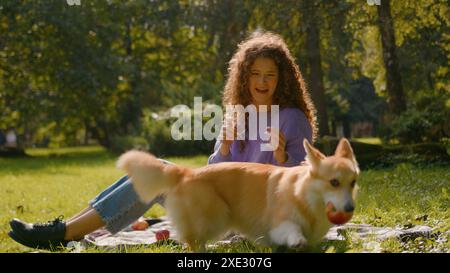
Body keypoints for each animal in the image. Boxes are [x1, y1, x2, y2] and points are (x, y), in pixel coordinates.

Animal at [118, 138, 360, 251]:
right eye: (334, 182)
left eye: (353, 182)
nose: (350, 209)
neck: (306, 196)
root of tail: (186, 172)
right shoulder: (279, 222)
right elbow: (291, 230)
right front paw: (297, 240)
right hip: (216, 215)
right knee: (193, 242)